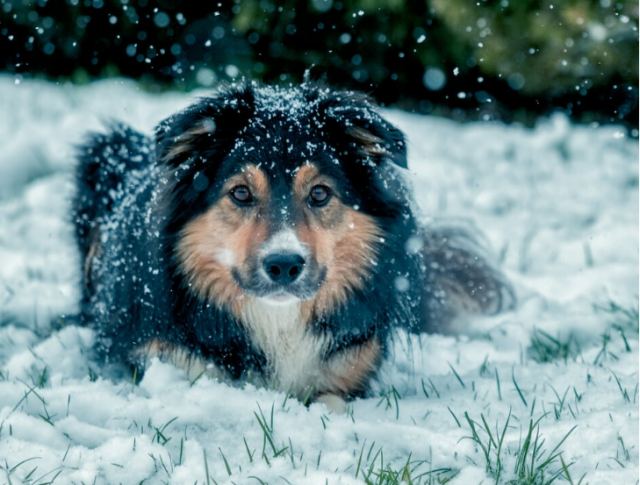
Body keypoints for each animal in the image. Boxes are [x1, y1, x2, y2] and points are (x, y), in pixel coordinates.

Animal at [72, 83, 512, 408]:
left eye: (319, 194)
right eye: (241, 193)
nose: (284, 264)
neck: (277, 319)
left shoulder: (350, 370)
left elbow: (330, 401)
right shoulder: (162, 356)